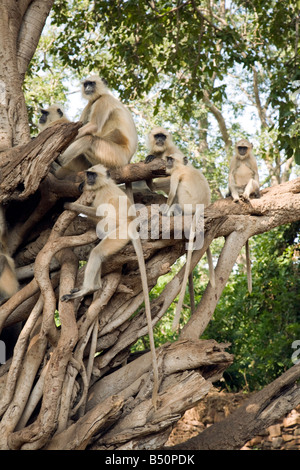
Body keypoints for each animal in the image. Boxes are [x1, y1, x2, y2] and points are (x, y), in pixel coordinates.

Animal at [61, 164, 159, 408]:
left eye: (91, 174)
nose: (87, 179)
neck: (105, 185)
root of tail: (131, 228)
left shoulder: (102, 195)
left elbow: (100, 213)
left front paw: (70, 205)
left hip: (118, 238)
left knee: (99, 246)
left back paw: (88, 288)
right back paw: (95, 287)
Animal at [163, 154, 214, 330]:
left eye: (170, 159)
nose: (167, 162)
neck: (184, 166)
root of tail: (202, 206)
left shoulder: (175, 174)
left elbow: (172, 195)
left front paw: (164, 211)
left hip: (187, 203)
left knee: (178, 194)